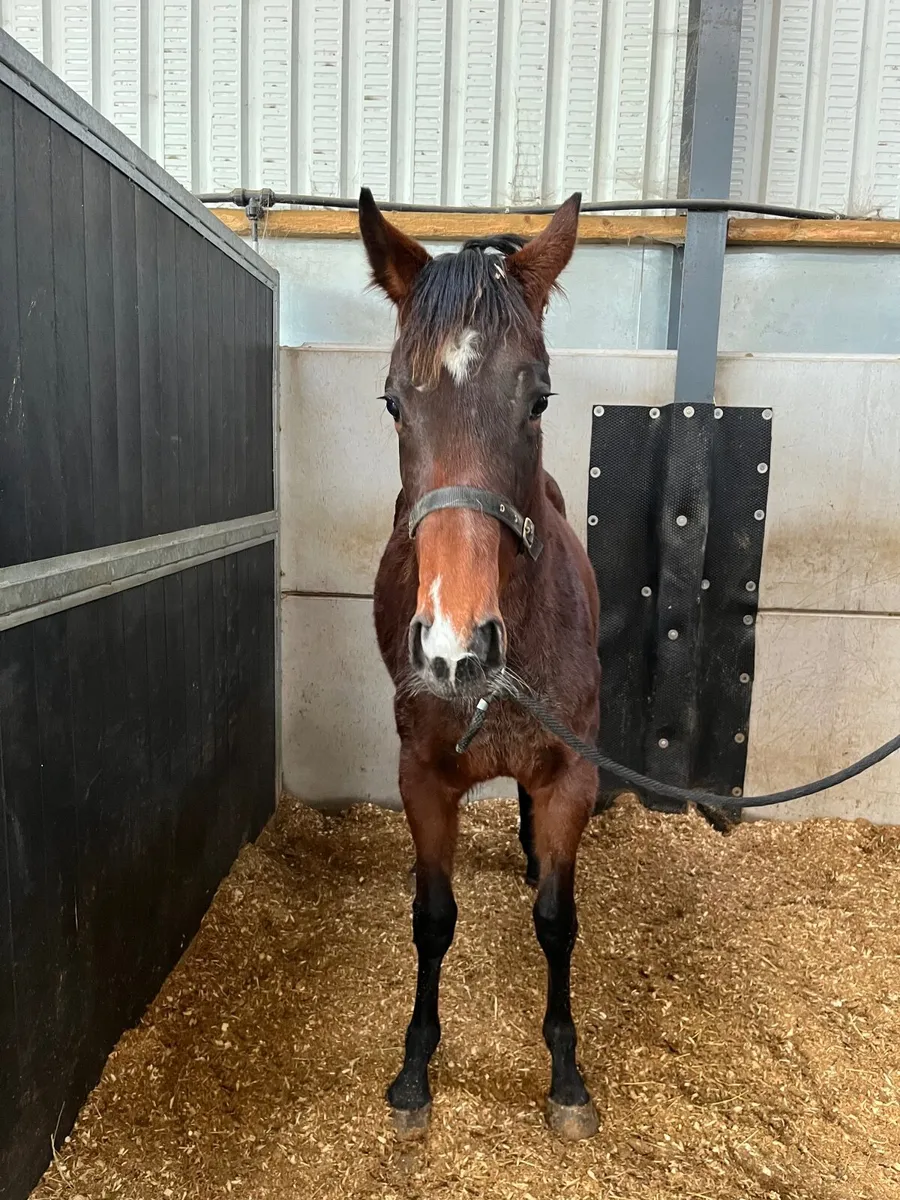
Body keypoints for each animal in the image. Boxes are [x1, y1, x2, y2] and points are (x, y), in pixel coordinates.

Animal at [358, 189, 602, 1141]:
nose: (454, 651)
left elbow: (557, 922)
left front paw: (566, 1075)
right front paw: (414, 1068)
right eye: (394, 403)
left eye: (539, 399)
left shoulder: (572, 776)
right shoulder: (421, 778)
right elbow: (432, 920)